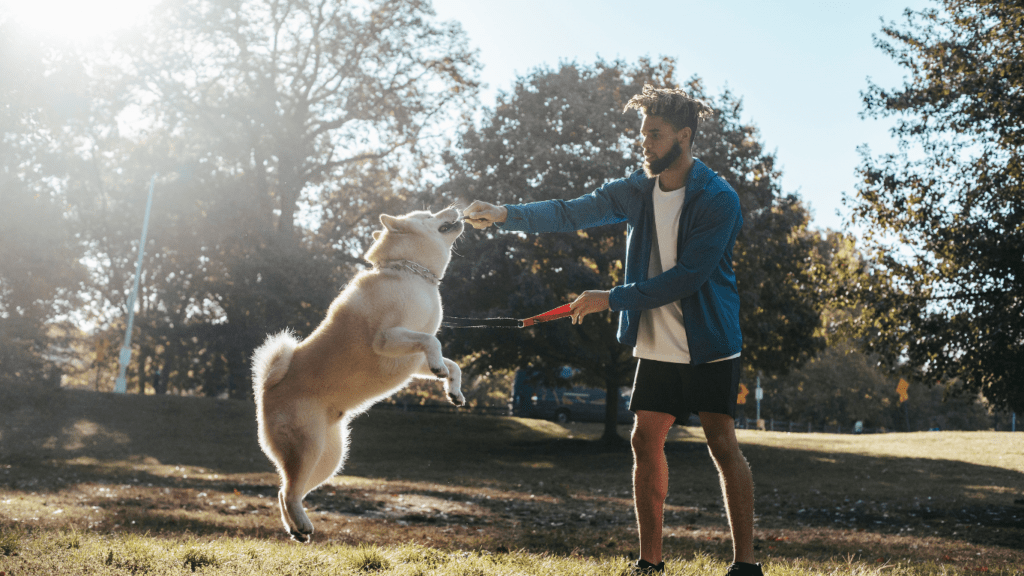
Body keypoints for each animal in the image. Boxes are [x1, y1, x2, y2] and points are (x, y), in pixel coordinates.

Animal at [252, 208, 468, 541]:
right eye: (429, 214)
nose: (454, 208)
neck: (413, 273)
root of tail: (267, 389)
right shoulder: (388, 339)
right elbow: (433, 341)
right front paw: (441, 371)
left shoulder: (413, 359)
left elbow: (451, 362)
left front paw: (453, 390)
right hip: (309, 447)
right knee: (288, 491)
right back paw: (302, 524)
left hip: (330, 458)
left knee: (285, 491)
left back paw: (296, 528)